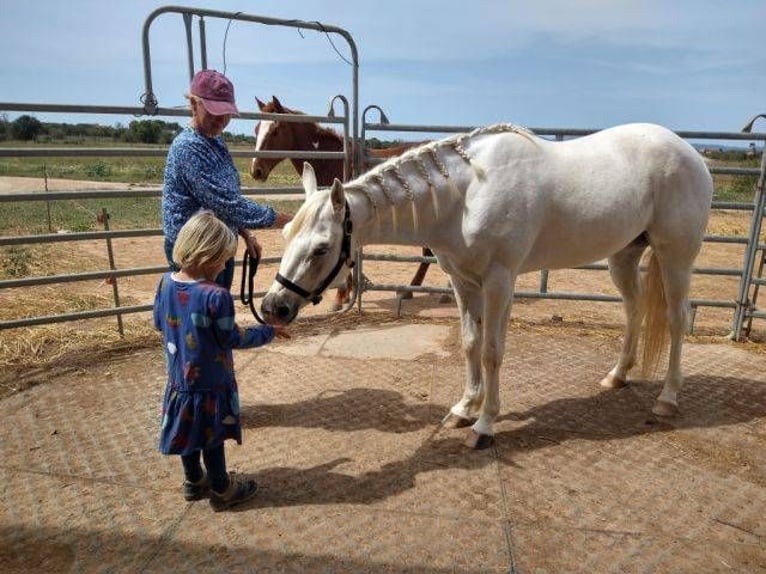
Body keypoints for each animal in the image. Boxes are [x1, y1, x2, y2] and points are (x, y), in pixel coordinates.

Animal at [249, 95, 436, 310]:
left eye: (275, 130)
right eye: (256, 129)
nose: (256, 170)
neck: (331, 161)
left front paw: (340, 297)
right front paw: (348, 292)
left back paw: (410, 290)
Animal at [260, 124, 716, 450]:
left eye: (321, 248)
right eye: (284, 237)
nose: (273, 307)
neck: (467, 193)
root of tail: (691, 153)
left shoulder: (499, 280)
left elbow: (493, 351)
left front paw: (484, 424)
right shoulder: (463, 281)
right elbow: (469, 343)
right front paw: (464, 408)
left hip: (676, 257)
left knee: (676, 319)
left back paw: (667, 398)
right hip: (623, 256)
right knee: (634, 309)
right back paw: (617, 376)